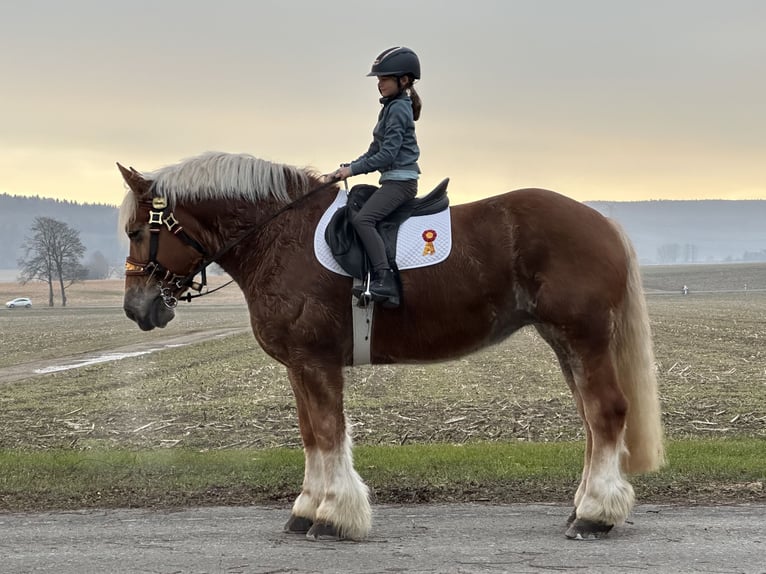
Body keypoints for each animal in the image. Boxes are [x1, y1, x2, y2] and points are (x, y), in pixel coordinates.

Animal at [117, 151, 664, 544]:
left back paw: (595, 514)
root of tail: (601, 223)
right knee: (591, 420)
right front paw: (306, 510)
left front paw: (334, 516)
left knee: (607, 413)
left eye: (138, 231)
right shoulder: (298, 365)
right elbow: (311, 435)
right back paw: (583, 507)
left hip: (584, 338)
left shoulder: (316, 362)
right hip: (564, 342)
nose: (137, 309)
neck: (280, 235)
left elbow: (329, 432)